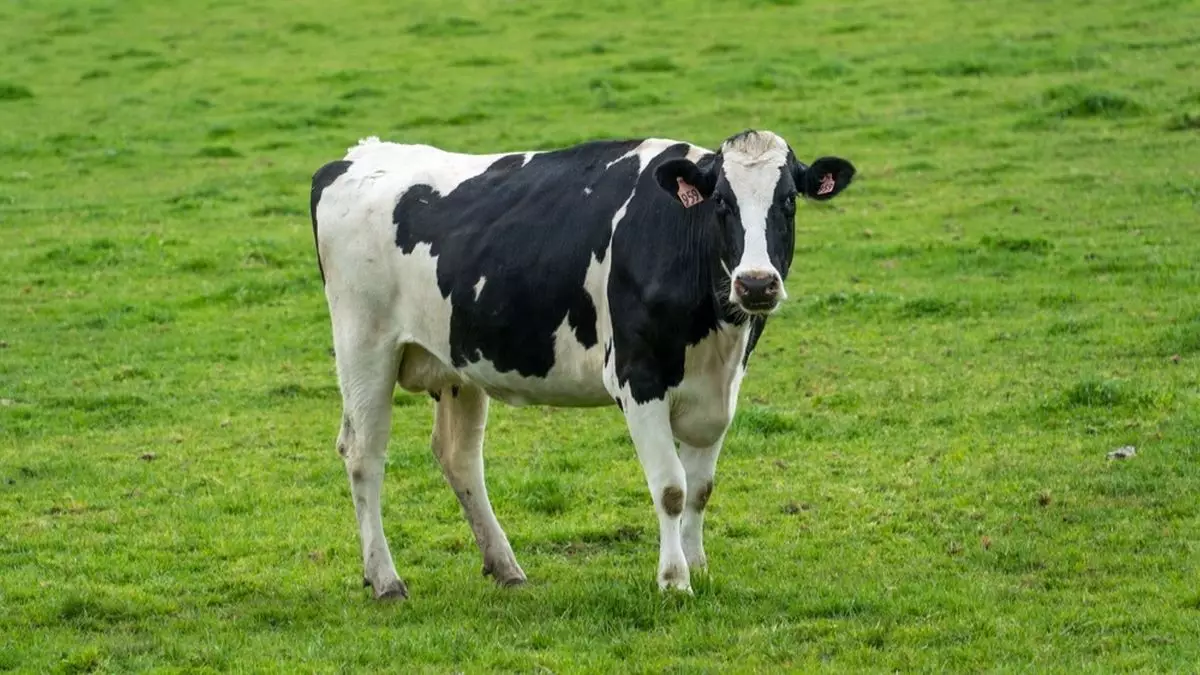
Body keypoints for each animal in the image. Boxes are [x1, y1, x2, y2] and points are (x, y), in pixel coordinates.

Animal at [309, 130, 855, 599]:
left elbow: (701, 489)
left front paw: (698, 565)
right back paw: (385, 580)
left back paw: (505, 567)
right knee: (363, 454)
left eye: (788, 201)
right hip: (365, 344)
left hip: (457, 363)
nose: (756, 283)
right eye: (721, 201)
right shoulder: (638, 379)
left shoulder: (721, 388)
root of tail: (358, 154)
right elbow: (671, 488)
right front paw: (674, 580)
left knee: (458, 455)